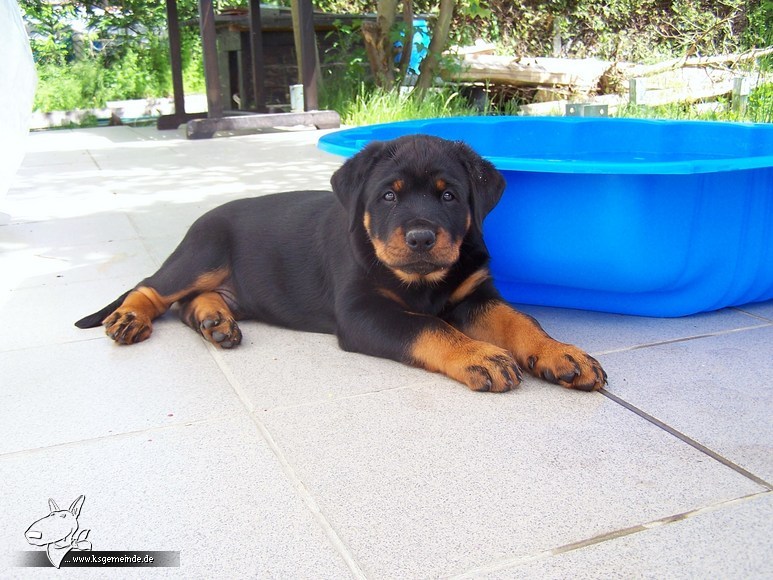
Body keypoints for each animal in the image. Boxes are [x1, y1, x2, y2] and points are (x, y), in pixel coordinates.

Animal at [75, 134, 608, 392]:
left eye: (450, 196)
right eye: (389, 195)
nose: (420, 237)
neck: (422, 281)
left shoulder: (476, 294)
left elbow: (521, 321)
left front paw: (562, 353)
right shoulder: (361, 311)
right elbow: (429, 327)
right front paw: (479, 355)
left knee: (189, 304)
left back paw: (215, 321)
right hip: (203, 251)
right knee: (153, 287)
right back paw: (129, 318)